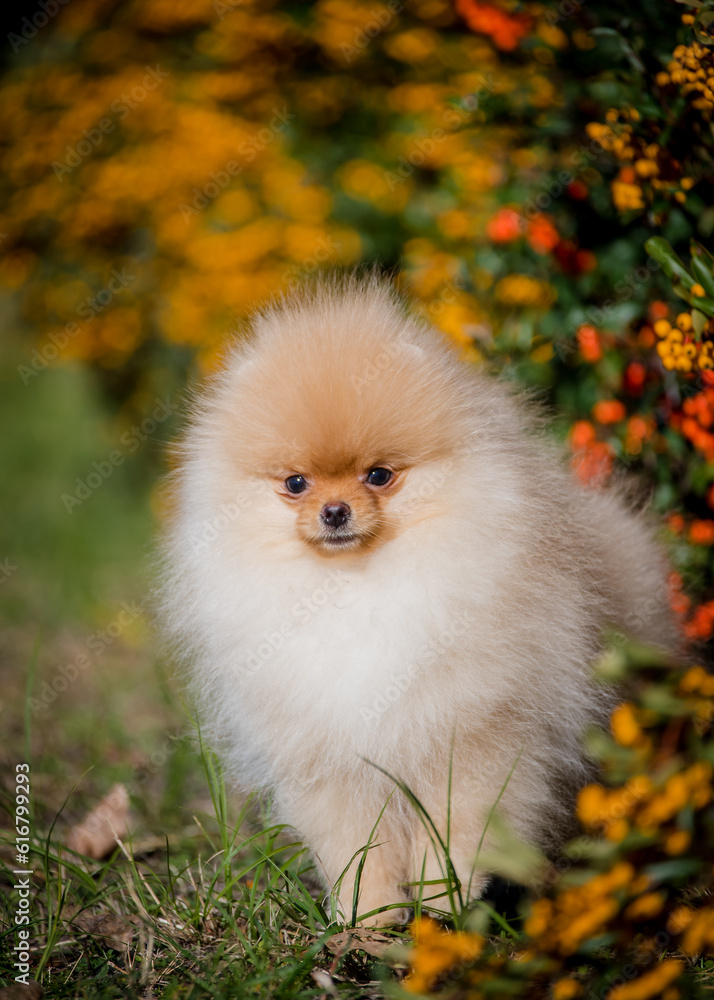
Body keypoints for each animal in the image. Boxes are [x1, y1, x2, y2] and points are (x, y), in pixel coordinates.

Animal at [161, 272, 680, 920]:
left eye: (379, 476)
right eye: (296, 483)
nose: (335, 511)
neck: (356, 589)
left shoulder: (476, 736)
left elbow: (461, 832)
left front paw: (446, 907)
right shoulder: (333, 759)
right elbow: (357, 848)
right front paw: (369, 919)